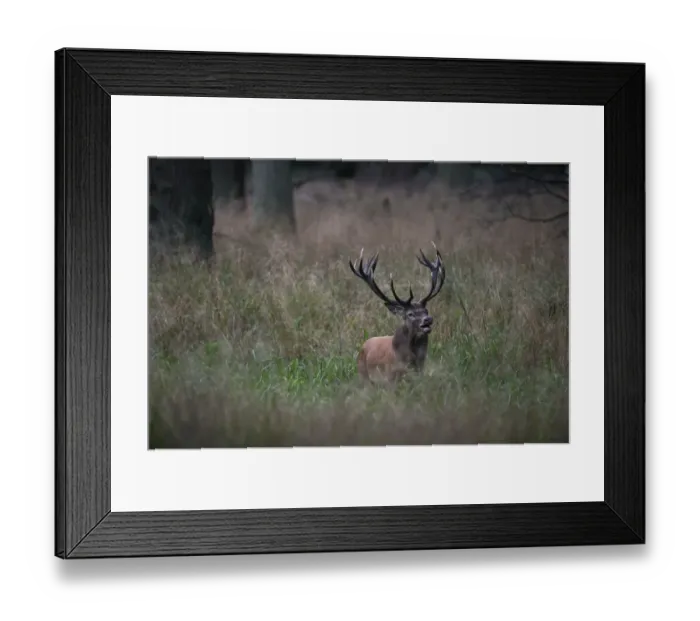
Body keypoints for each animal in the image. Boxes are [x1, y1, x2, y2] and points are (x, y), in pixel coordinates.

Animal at [348, 243, 446, 383]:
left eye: (426, 310)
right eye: (410, 314)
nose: (428, 319)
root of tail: (363, 345)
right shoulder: (390, 379)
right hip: (364, 376)